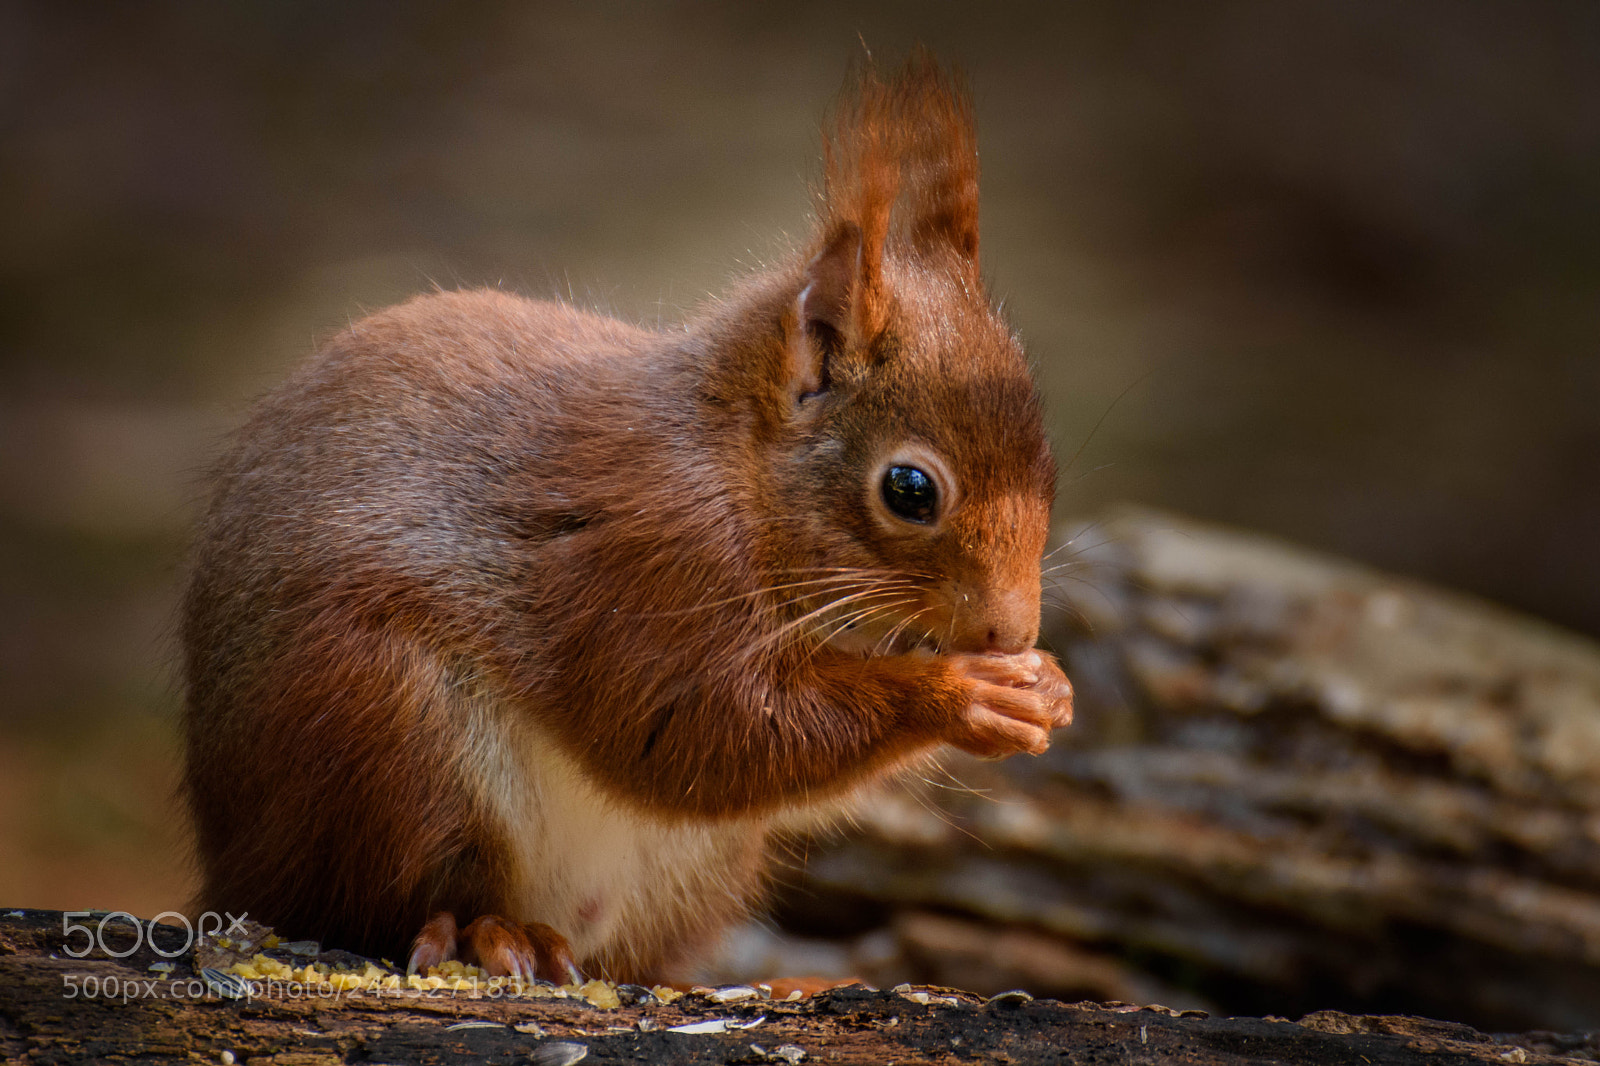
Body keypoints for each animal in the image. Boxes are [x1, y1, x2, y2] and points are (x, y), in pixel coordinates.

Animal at [180, 52, 1073, 986]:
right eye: (909, 490)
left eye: (1054, 467)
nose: (1010, 630)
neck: (737, 464)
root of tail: (231, 870)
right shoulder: (646, 554)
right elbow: (700, 730)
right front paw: (963, 694)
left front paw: (1047, 686)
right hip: (385, 730)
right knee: (383, 899)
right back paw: (486, 931)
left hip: (692, 869)